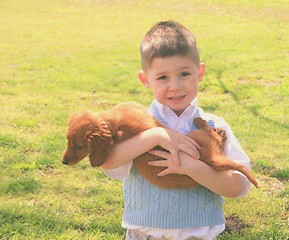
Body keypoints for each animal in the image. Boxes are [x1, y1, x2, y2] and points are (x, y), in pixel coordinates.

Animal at [62, 102, 258, 188]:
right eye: (68, 141)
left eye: (79, 146)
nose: (63, 162)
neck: (115, 123)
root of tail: (210, 160)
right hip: (195, 136)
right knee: (214, 137)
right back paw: (207, 125)